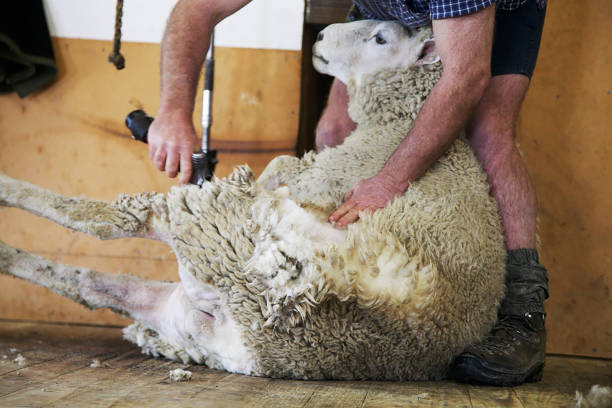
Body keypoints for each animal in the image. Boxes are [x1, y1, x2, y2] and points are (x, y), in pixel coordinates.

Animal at [0, 20, 504, 380]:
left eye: (381, 38)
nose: (320, 35)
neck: (401, 120)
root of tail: (246, 332)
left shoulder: (329, 174)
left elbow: (281, 164)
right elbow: (278, 164)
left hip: (211, 231)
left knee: (103, 222)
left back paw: (8, 191)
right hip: (181, 305)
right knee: (84, 283)